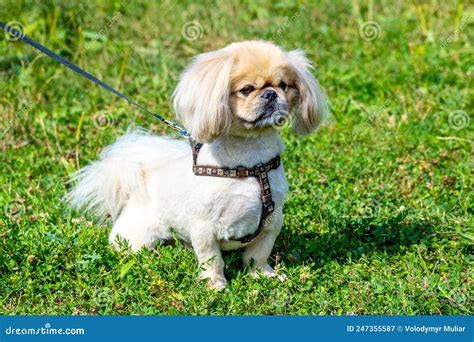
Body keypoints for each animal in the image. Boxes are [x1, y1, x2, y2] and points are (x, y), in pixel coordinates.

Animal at [67, 39, 330, 288]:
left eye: (283, 85)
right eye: (246, 89)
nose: (271, 94)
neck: (251, 163)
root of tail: (143, 179)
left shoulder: (271, 223)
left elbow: (258, 255)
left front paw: (262, 275)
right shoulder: (205, 227)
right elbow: (212, 260)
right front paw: (215, 284)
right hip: (135, 240)